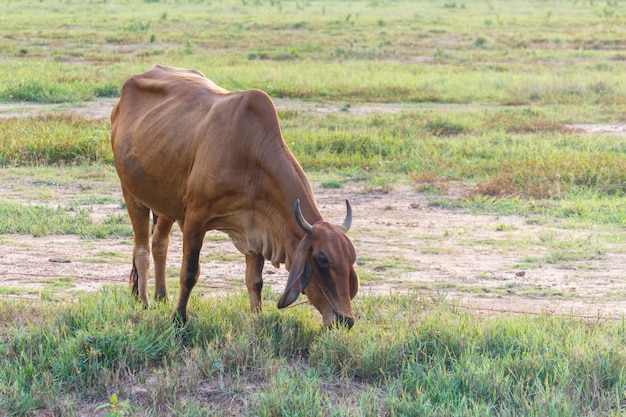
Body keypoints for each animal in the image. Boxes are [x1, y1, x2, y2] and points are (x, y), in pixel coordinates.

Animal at [109, 64, 358, 328]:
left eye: (350, 259)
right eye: (322, 259)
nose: (346, 319)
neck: (251, 153)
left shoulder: (257, 228)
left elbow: (255, 280)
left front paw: (257, 316)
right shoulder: (195, 219)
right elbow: (189, 273)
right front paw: (179, 318)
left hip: (165, 202)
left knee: (159, 243)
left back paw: (160, 296)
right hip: (131, 193)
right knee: (142, 249)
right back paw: (144, 301)